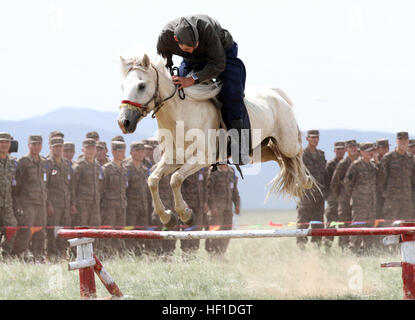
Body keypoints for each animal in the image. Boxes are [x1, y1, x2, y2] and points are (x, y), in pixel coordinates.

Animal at [117, 53, 312, 228]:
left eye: (141, 85)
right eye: (122, 86)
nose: (124, 122)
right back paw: (297, 180)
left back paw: (305, 180)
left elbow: (175, 179)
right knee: (281, 159)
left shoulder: (203, 158)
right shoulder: (173, 159)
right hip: (261, 151)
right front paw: (167, 217)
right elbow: (153, 181)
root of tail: (276, 95)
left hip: (287, 143)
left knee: (295, 154)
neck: (180, 115)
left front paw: (186, 214)